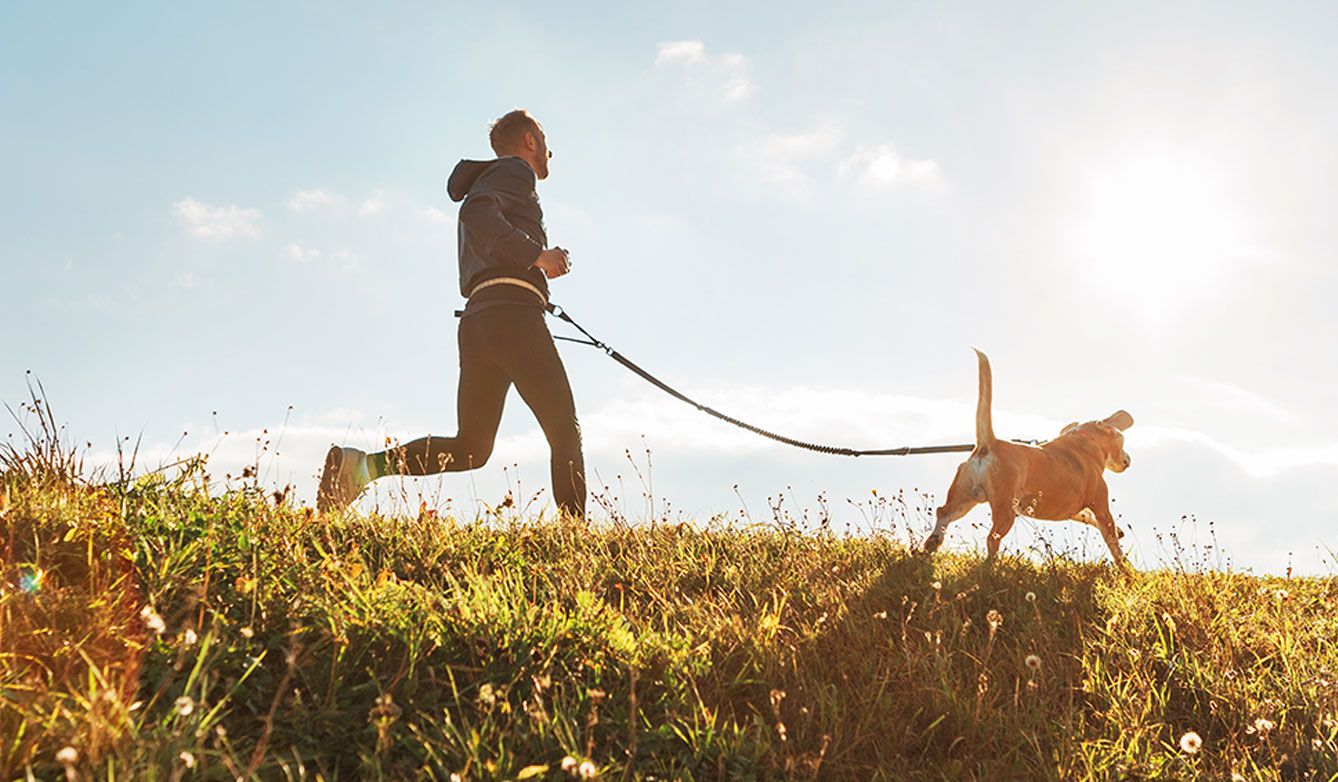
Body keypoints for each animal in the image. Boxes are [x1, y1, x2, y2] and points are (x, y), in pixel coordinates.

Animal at [925, 350, 1134, 565]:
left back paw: (932, 543)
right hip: (1005, 509)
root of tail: (989, 443)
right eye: (1121, 440)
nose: (1129, 459)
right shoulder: (1101, 507)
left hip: (964, 497)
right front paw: (1126, 568)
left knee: (943, 513)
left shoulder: (1077, 510)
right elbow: (1113, 543)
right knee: (992, 537)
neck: (1083, 440)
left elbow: (1088, 517)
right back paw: (991, 565)